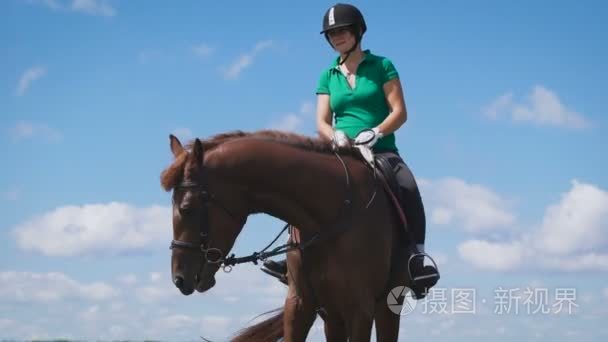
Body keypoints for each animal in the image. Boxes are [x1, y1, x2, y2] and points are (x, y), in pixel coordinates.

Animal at [160, 130, 414, 340]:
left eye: (187, 208)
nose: (179, 279)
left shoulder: (360, 308)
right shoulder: (300, 305)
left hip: (387, 304)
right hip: (333, 316)